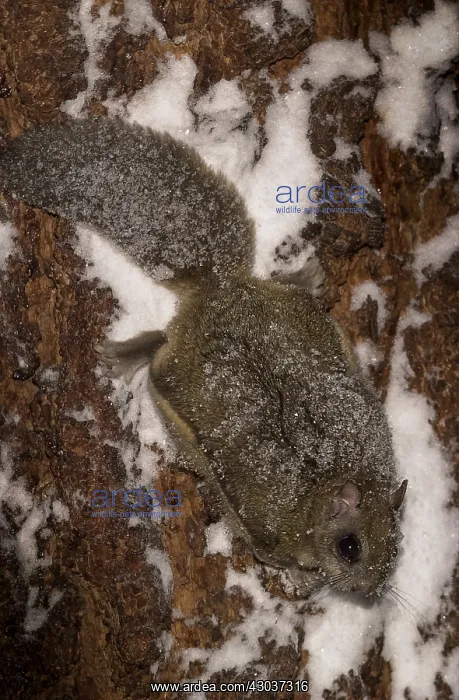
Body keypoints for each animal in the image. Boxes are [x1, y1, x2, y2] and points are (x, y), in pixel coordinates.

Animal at [0, 117, 407, 598]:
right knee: (159, 345)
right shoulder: (269, 531)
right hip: (171, 379)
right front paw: (301, 578)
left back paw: (308, 277)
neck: (323, 487)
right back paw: (124, 357)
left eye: (396, 546)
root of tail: (219, 290)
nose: (371, 590)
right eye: (350, 547)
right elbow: (275, 556)